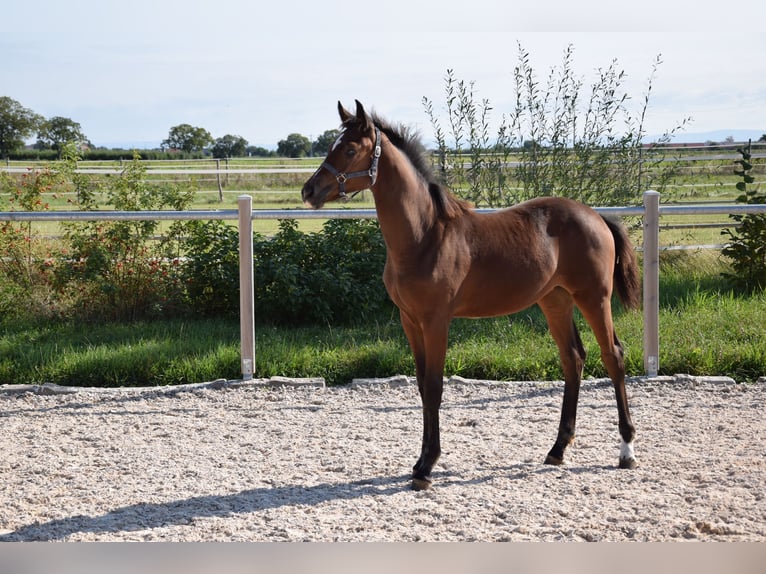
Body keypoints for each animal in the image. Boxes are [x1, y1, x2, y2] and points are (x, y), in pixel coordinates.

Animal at [304, 101, 644, 492]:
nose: (309, 190)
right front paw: (419, 462)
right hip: (555, 300)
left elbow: (434, 386)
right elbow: (421, 386)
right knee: (573, 358)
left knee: (612, 356)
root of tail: (597, 216)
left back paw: (626, 451)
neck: (425, 236)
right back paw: (557, 449)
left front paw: (426, 467)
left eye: (349, 149)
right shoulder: (410, 320)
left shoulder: (436, 321)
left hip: (593, 297)